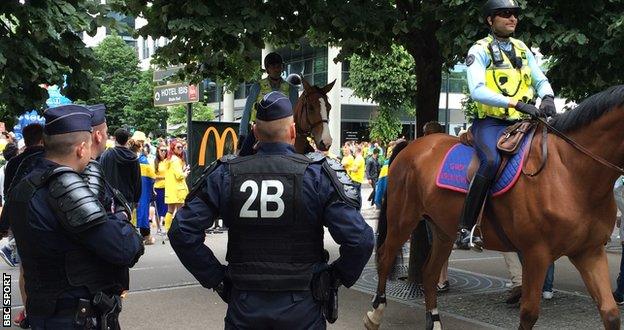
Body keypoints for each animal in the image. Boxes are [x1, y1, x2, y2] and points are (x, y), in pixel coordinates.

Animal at [364, 85, 624, 330]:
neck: (569, 172)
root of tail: (411, 145)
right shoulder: (536, 254)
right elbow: (529, 314)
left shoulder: (589, 252)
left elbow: (610, 313)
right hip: (403, 219)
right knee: (385, 257)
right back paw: (375, 314)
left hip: (442, 230)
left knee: (429, 273)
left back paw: (435, 321)